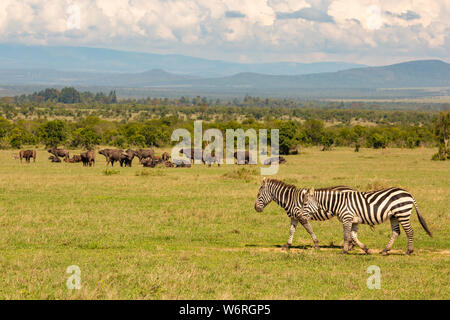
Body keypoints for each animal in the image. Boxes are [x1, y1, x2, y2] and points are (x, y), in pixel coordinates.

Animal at [298, 186, 432, 254]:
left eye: (305, 204)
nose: (300, 217)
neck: (338, 203)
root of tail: (409, 194)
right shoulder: (354, 221)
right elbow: (353, 236)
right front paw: (366, 250)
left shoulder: (347, 218)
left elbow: (346, 236)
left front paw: (344, 251)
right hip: (394, 216)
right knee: (396, 232)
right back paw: (385, 250)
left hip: (402, 213)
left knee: (410, 231)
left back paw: (409, 251)